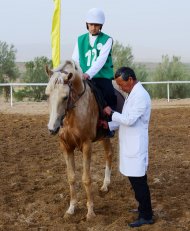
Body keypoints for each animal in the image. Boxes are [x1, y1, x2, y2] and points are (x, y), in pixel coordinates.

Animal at [45, 59, 115, 220]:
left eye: (65, 97)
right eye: (47, 94)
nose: (52, 128)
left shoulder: (86, 145)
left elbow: (86, 179)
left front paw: (90, 212)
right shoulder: (65, 147)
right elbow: (71, 177)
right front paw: (71, 208)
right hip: (104, 137)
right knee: (109, 154)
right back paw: (105, 184)